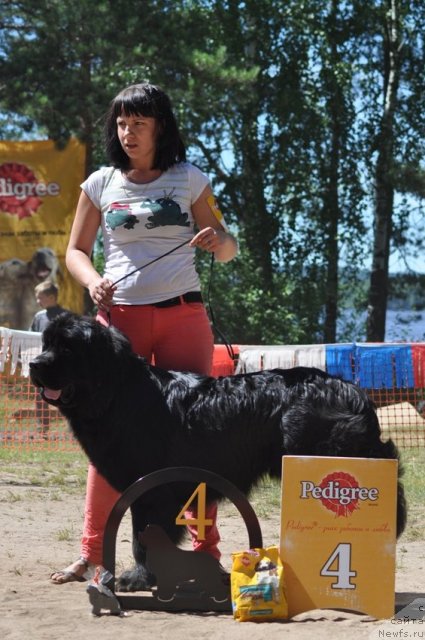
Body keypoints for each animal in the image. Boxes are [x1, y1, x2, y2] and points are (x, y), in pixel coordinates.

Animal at [28, 312, 406, 592]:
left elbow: (142, 538)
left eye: (68, 348)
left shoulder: (151, 491)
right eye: (47, 343)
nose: (34, 364)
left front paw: (138, 579)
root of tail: (354, 392)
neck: (117, 392)